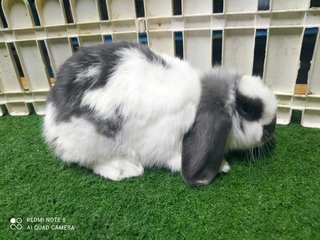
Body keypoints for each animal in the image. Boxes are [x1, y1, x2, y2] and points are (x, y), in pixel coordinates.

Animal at [43, 41, 278, 187]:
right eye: (248, 109)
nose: (273, 126)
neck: (201, 99)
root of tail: (51, 120)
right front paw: (223, 166)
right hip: (93, 141)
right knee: (89, 162)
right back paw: (124, 169)